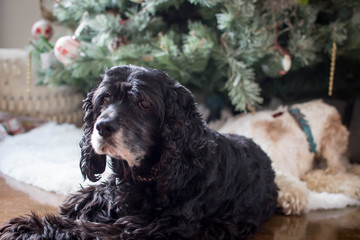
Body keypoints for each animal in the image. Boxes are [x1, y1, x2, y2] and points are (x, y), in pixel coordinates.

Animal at [0, 65, 278, 240]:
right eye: (104, 100)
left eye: (143, 104)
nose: (103, 127)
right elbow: (90, 197)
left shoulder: (144, 229)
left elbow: (83, 230)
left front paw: (28, 228)